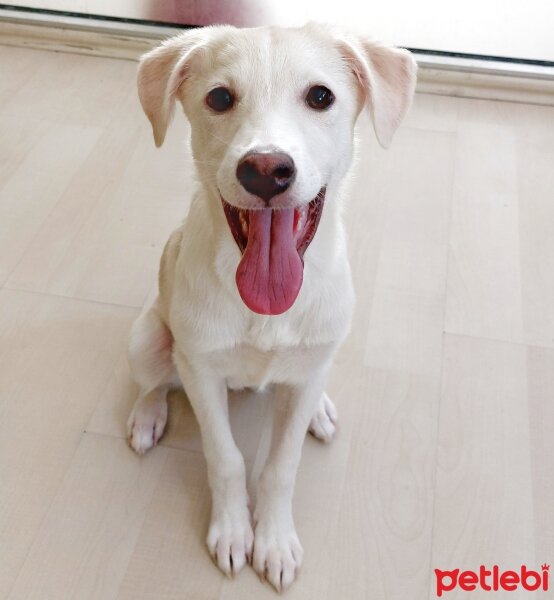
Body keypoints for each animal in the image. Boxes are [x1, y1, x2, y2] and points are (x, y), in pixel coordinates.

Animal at [127, 22, 416, 592]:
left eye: (321, 96)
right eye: (220, 98)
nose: (265, 169)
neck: (266, 310)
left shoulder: (303, 376)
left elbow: (282, 466)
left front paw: (276, 541)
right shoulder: (201, 370)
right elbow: (225, 457)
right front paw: (234, 532)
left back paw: (319, 410)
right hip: (148, 337)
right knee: (155, 382)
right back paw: (148, 416)